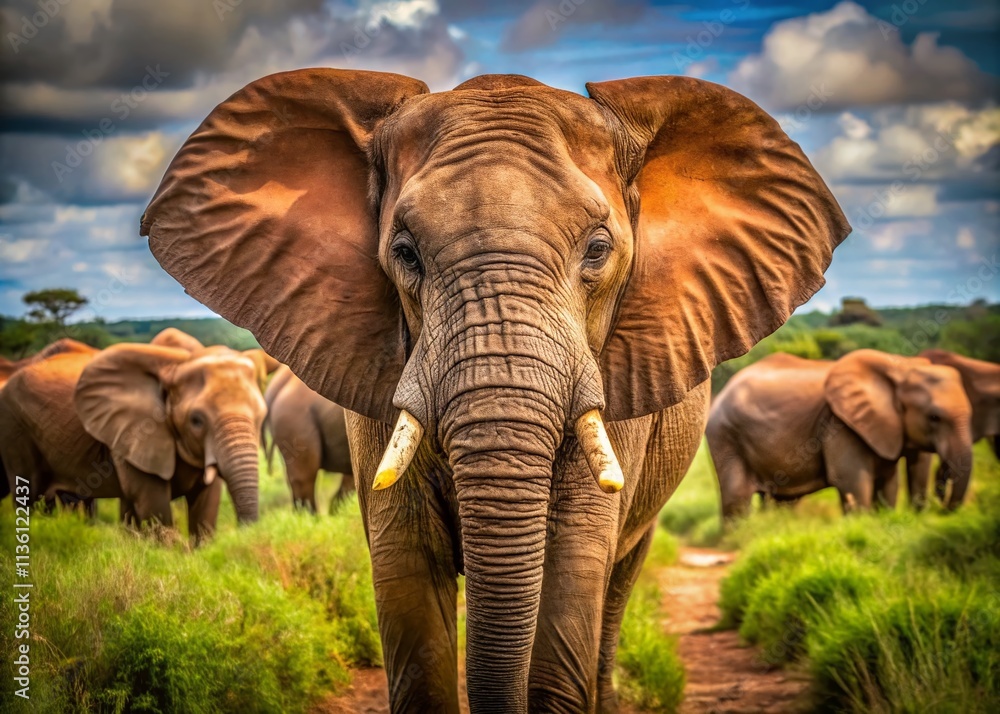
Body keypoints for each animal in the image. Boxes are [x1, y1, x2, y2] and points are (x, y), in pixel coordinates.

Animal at [0, 332, 275, 541]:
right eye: (196, 420)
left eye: (262, 416)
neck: (178, 364)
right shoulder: (135, 433)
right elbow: (152, 502)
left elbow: (206, 504)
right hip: (15, 427)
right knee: (29, 496)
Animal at [708, 349, 974, 519]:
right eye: (934, 417)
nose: (941, 505)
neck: (900, 366)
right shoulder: (839, 424)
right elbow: (853, 482)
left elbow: (888, 485)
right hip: (725, 436)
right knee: (737, 500)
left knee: (781, 501)